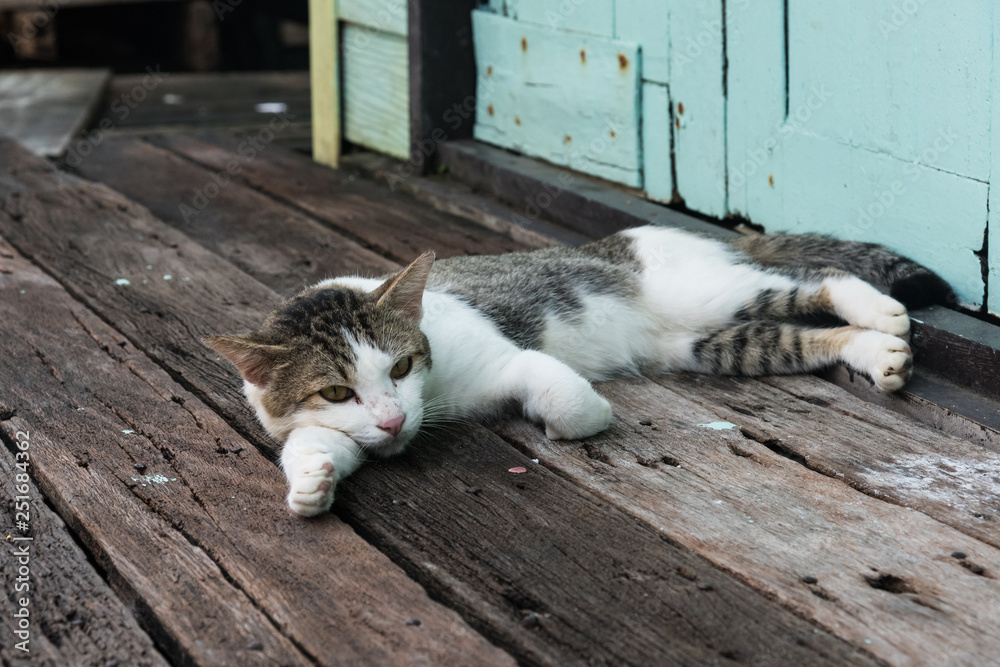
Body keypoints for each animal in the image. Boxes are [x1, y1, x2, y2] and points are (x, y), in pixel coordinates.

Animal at [203, 227, 952, 520]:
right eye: (336, 391)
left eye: (402, 364)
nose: (391, 418)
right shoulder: (321, 423)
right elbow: (313, 443)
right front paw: (311, 481)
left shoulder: (509, 356)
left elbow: (560, 393)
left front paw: (582, 418)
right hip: (710, 343)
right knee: (796, 333)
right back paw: (877, 352)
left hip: (705, 293)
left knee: (820, 275)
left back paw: (882, 311)